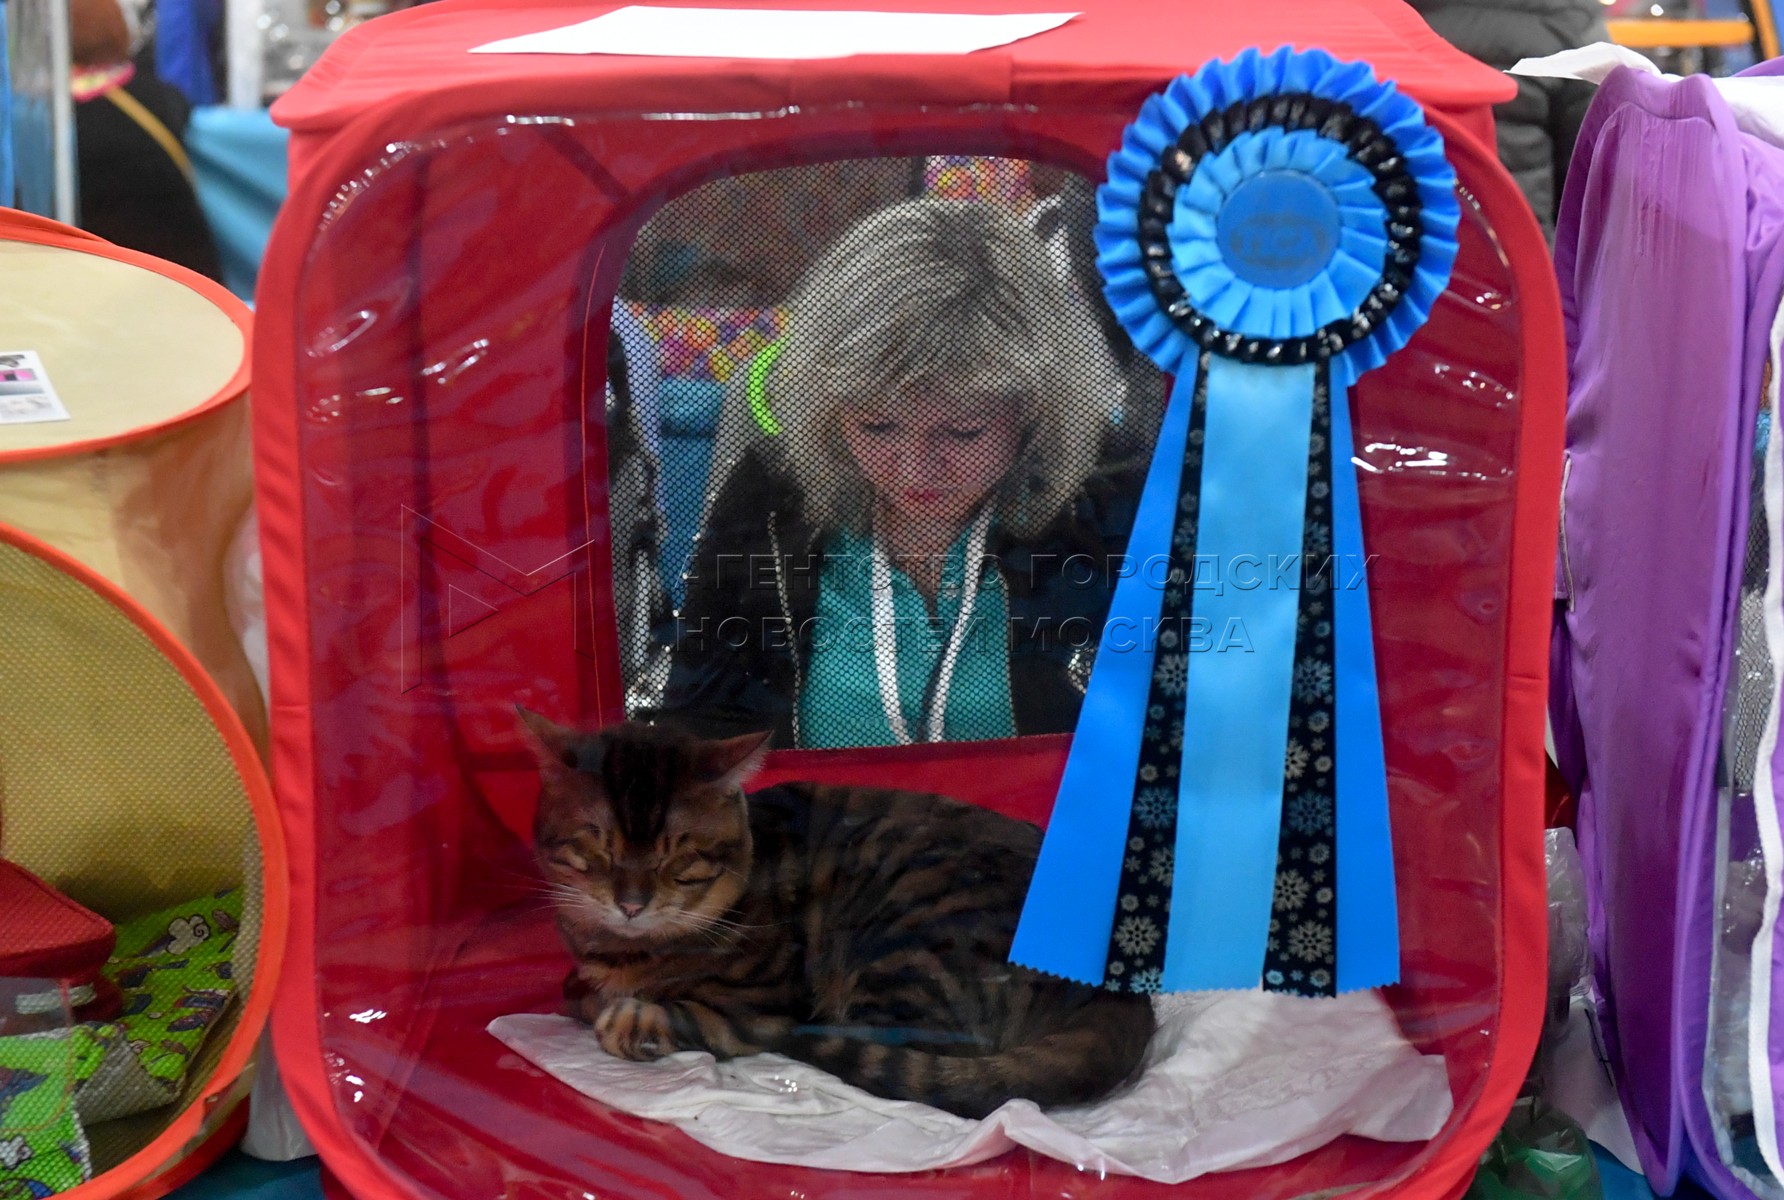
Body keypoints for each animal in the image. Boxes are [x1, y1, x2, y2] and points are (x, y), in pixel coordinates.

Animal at [518, 709, 1155, 1120]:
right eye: (596, 847)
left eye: (679, 856)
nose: (631, 903)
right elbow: (575, 988)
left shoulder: (764, 1002)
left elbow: (673, 1016)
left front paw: (629, 1016)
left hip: (908, 935)